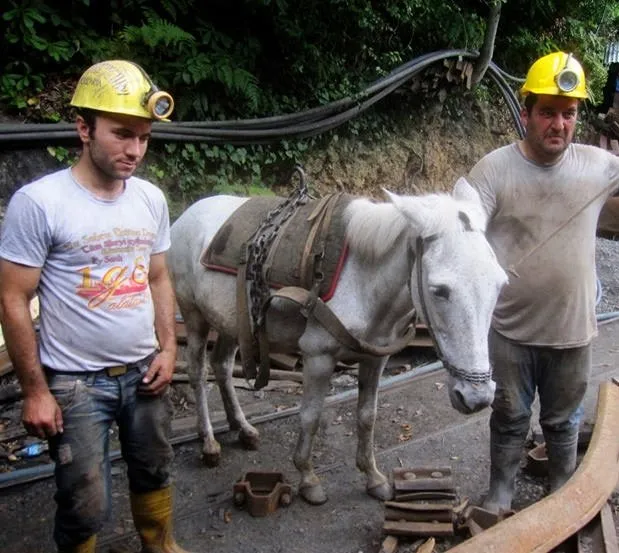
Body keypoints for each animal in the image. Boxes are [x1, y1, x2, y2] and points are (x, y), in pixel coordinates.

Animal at [170, 180, 508, 504]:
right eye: (439, 290)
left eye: (500, 284)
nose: (476, 398)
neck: (361, 279)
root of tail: (186, 215)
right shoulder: (318, 357)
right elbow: (310, 417)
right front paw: (308, 480)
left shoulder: (376, 357)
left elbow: (367, 416)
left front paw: (373, 477)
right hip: (193, 315)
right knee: (198, 373)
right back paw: (209, 443)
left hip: (229, 320)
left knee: (223, 366)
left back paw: (242, 428)